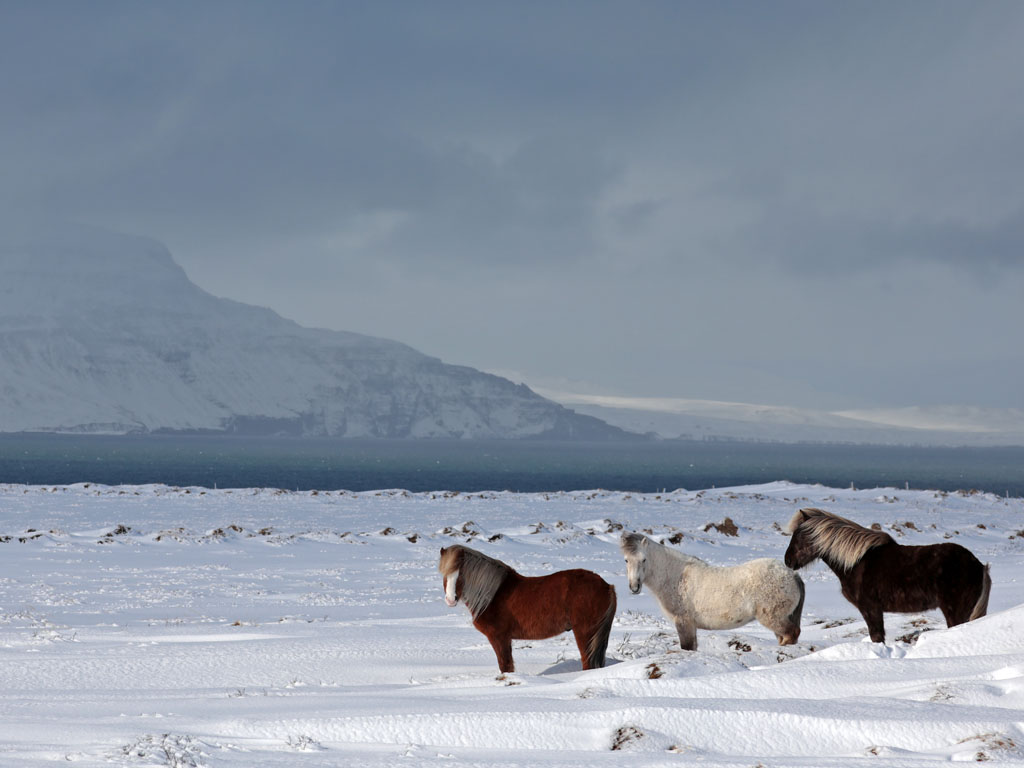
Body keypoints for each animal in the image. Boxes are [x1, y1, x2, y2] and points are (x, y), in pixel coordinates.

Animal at [438, 544, 614, 675]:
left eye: (461, 575)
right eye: (444, 575)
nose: (450, 599)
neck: (493, 594)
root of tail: (607, 586)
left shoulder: (499, 638)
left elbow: (505, 666)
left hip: (585, 633)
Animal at [618, 532, 802, 651]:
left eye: (644, 559)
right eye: (626, 560)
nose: (634, 587)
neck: (675, 576)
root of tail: (792, 575)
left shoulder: (683, 622)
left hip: (773, 618)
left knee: (792, 634)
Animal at [782, 507, 991, 647]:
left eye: (800, 536)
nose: (788, 560)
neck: (857, 562)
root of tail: (979, 566)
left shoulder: (871, 609)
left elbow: (877, 637)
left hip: (955, 612)